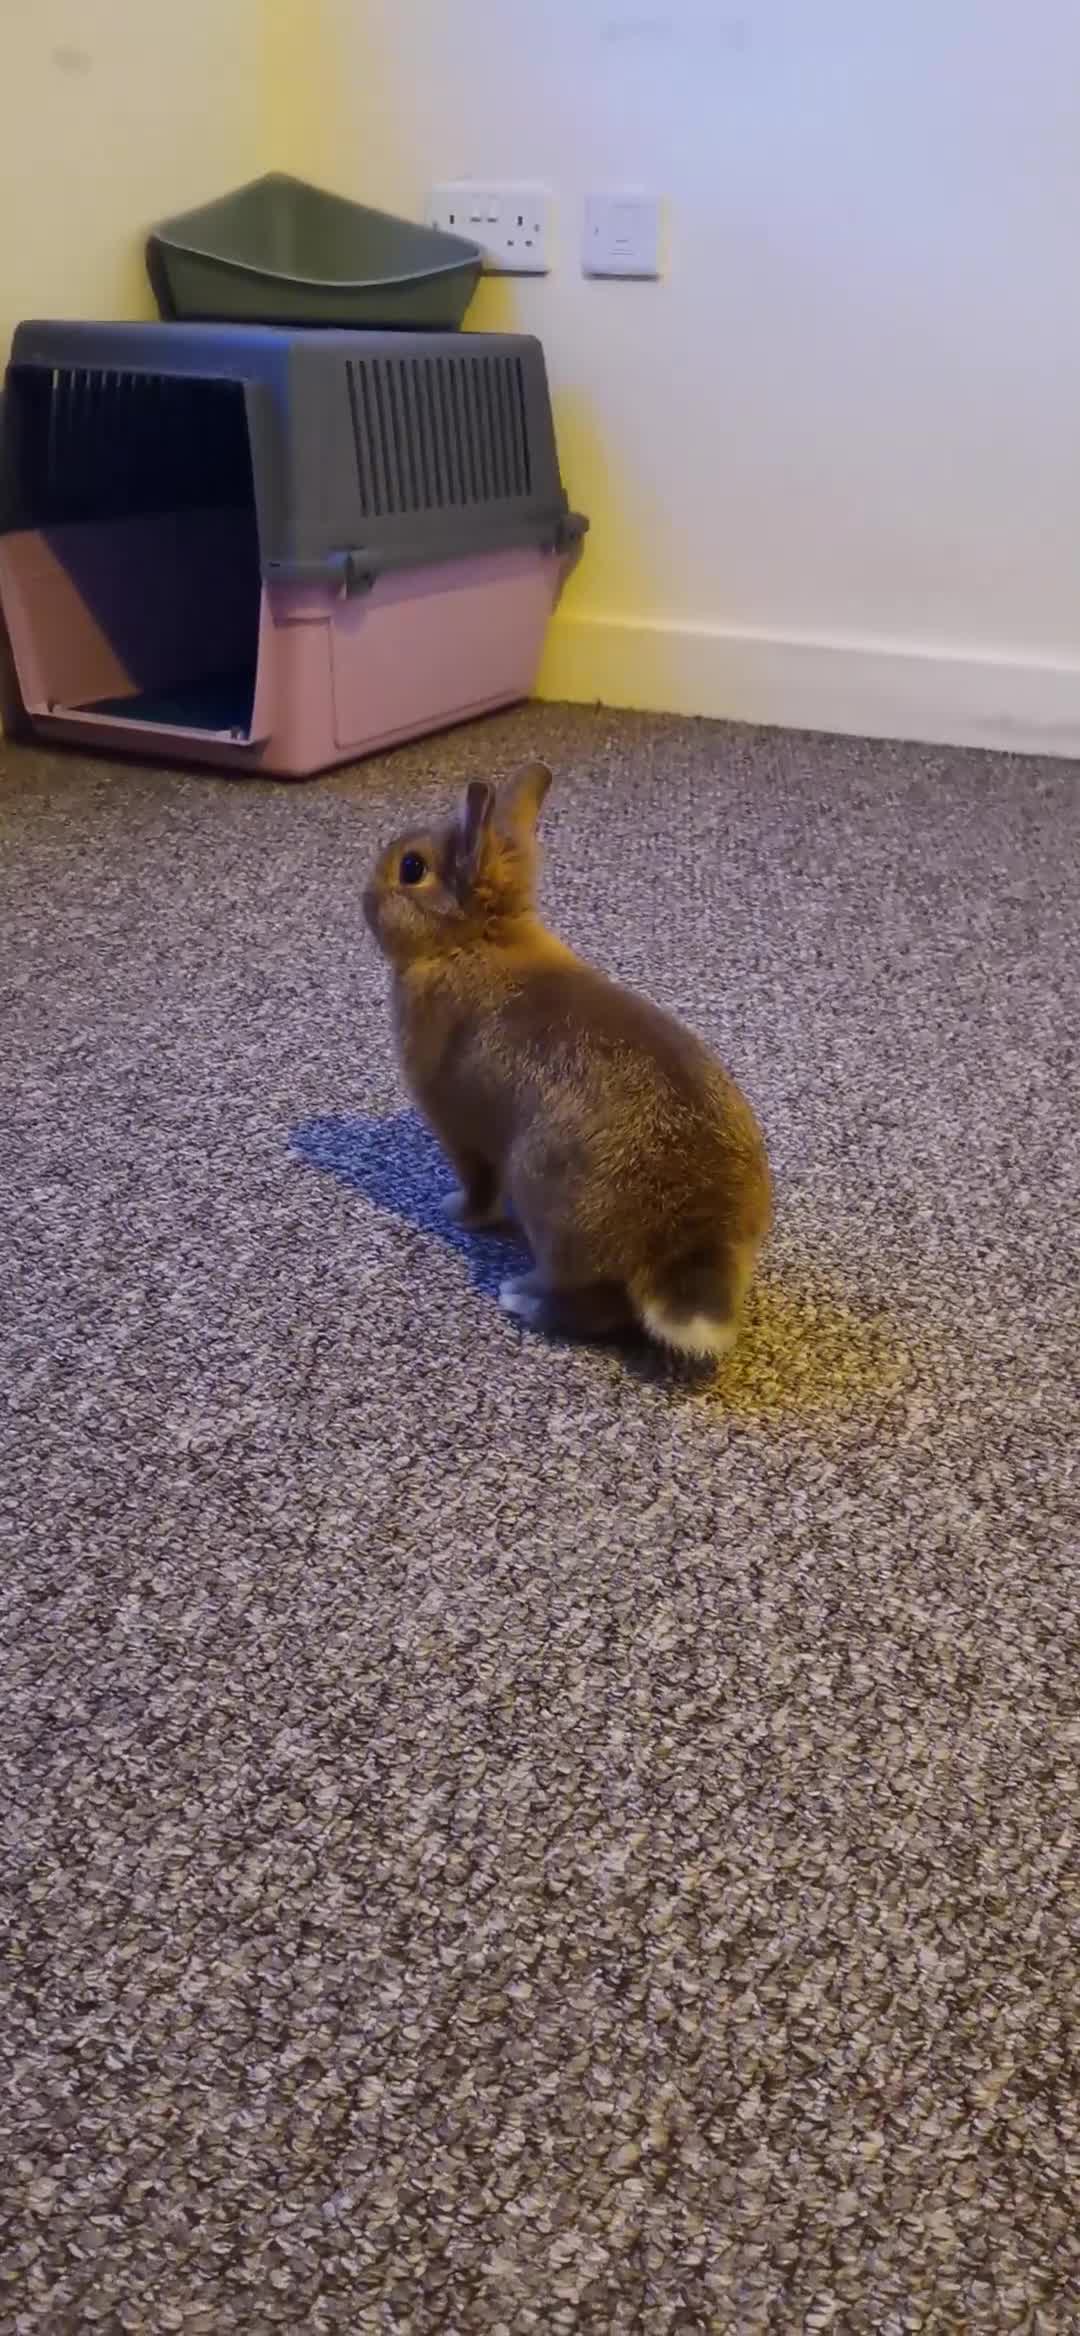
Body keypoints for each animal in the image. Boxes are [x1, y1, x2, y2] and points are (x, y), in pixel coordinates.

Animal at [363, 760, 772, 1354]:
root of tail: (688, 1236)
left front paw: (455, 1213)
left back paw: (521, 1298)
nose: (364, 897)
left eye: (411, 868)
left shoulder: (458, 1128)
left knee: (593, 1308)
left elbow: (478, 1186)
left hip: (548, 1201)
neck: (473, 940)